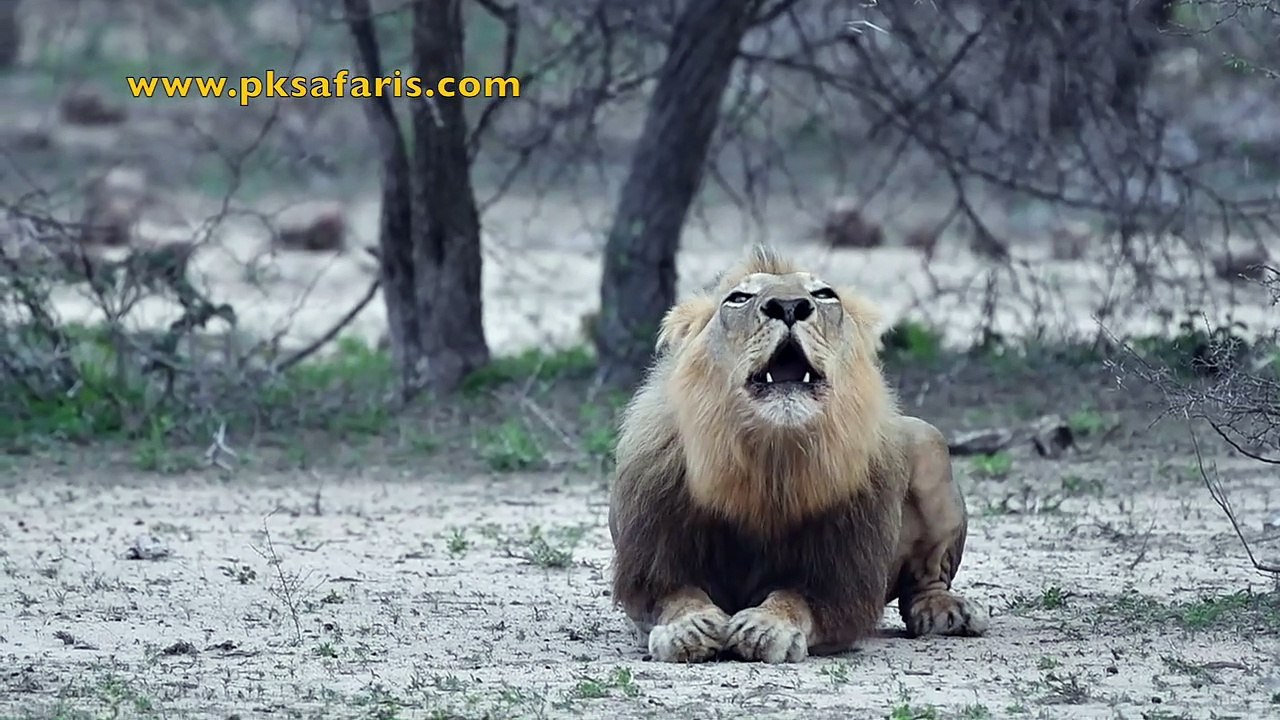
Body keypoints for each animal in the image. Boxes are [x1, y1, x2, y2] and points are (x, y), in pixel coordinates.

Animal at [607, 245, 988, 663]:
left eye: (823, 295)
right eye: (738, 298)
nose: (789, 306)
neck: (772, 455)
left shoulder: (838, 579)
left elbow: (795, 598)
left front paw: (766, 626)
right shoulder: (654, 561)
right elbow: (676, 595)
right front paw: (687, 628)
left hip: (928, 441)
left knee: (928, 578)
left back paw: (944, 611)